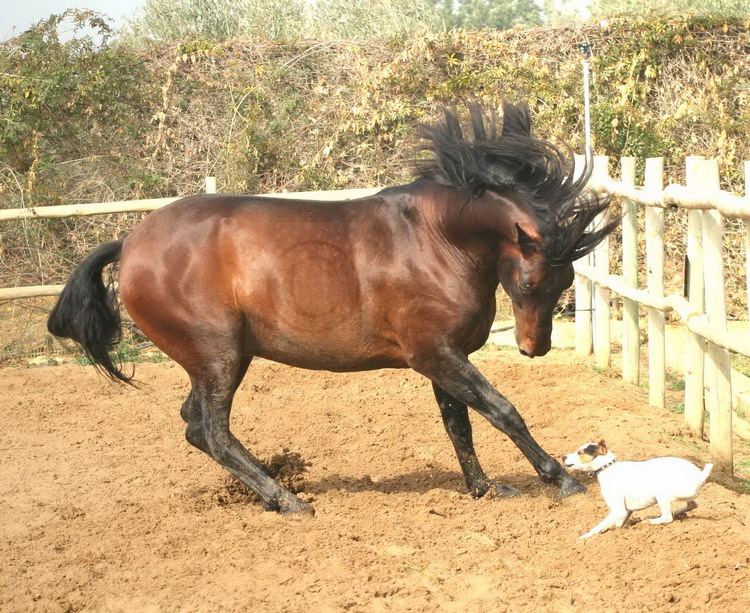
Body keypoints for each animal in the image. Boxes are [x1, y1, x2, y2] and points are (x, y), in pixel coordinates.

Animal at [48, 103, 616, 512]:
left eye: (566, 279)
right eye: (531, 281)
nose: (534, 348)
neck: (435, 240)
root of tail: (129, 244)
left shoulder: (443, 356)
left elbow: (460, 423)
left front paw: (485, 489)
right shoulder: (434, 354)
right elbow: (501, 410)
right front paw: (561, 480)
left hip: (218, 359)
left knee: (194, 426)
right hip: (217, 355)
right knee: (212, 430)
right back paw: (288, 500)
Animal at [568, 440, 712, 536]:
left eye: (580, 452)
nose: (564, 457)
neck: (607, 468)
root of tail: (700, 476)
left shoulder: (618, 510)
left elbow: (598, 526)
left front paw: (585, 538)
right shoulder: (626, 511)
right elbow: (616, 524)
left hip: (662, 495)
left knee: (667, 517)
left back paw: (648, 522)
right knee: (693, 504)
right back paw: (678, 512)